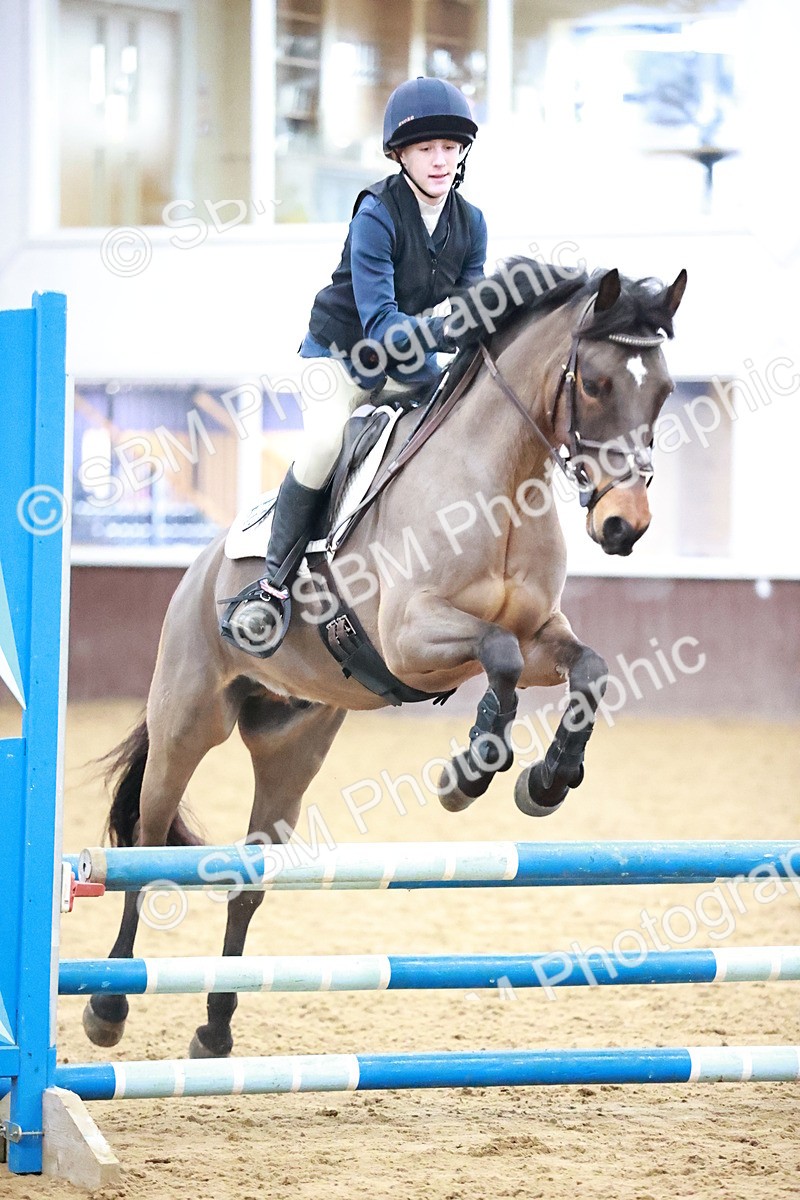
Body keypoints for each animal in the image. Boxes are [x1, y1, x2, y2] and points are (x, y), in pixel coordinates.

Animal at [83, 258, 687, 1058]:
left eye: (665, 389)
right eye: (593, 382)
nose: (625, 525)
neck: (502, 482)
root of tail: (198, 570)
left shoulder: (539, 636)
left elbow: (588, 670)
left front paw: (546, 781)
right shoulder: (411, 638)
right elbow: (494, 655)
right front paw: (471, 772)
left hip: (292, 747)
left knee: (250, 876)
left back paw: (215, 1026)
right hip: (187, 721)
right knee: (145, 849)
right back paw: (108, 1005)